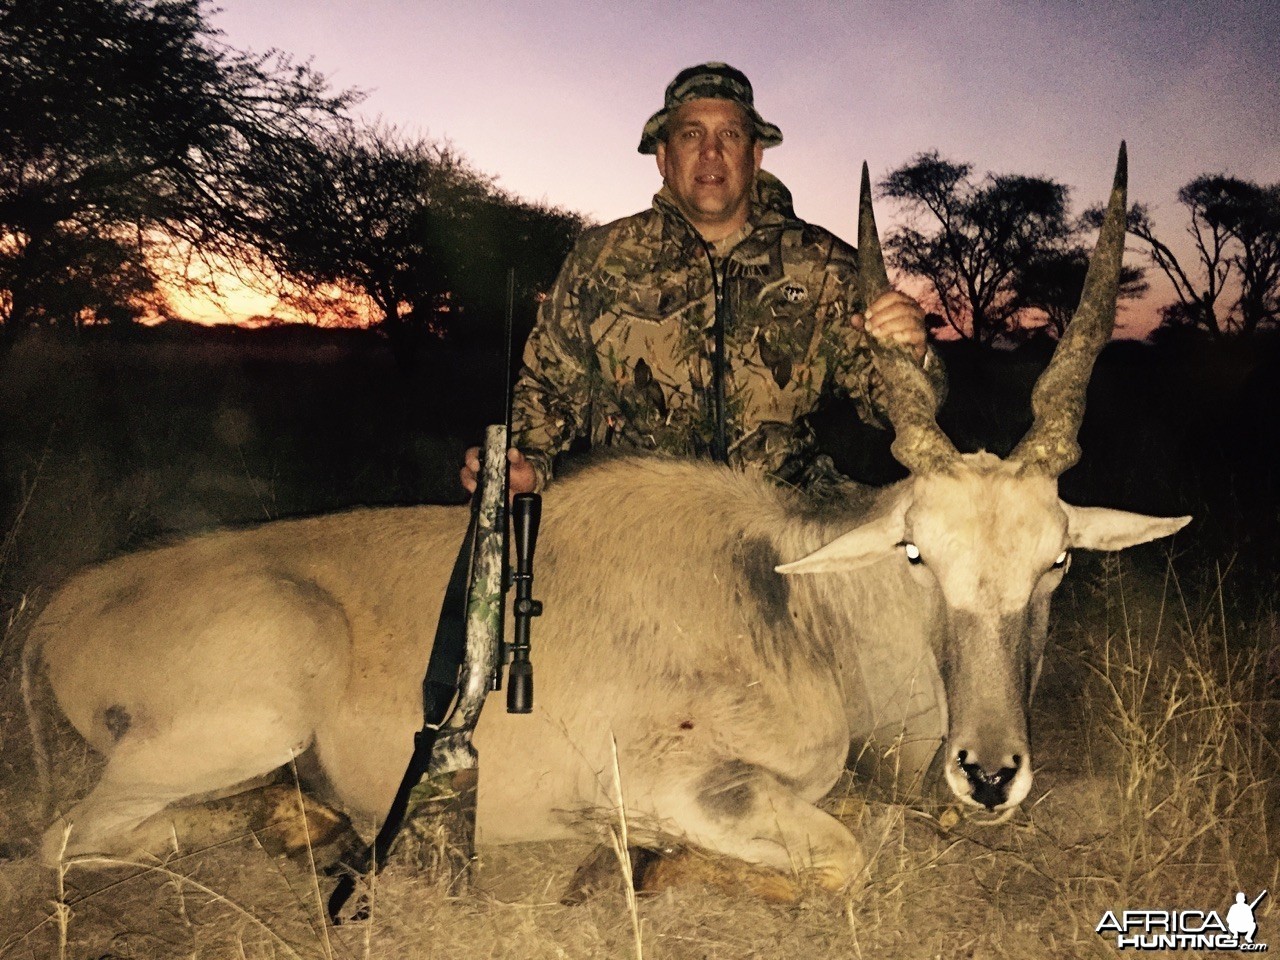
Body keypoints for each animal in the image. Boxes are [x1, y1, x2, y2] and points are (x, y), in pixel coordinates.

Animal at [22, 148, 1187, 896]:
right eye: (917, 553)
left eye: (1055, 562)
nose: (989, 773)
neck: (793, 600)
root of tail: (61, 611)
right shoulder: (693, 786)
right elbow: (847, 857)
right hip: (251, 720)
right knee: (59, 843)